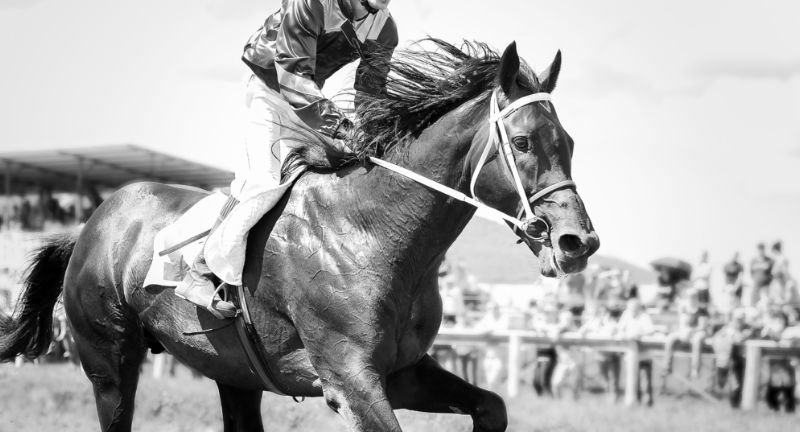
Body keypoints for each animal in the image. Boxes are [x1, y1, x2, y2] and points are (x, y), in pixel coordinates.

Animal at [0, 38, 600, 430]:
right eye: (522, 142)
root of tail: (91, 226)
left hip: (232, 373)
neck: (372, 233)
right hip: (110, 362)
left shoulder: (402, 372)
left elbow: (492, 407)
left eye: (569, 141)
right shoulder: (350, 381)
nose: (578, 243)